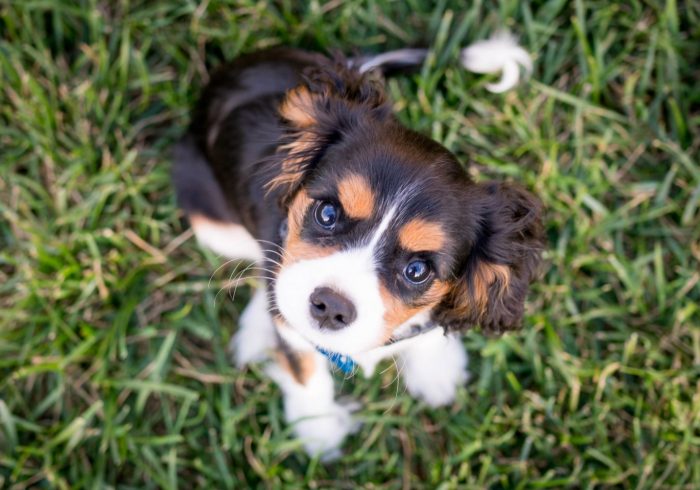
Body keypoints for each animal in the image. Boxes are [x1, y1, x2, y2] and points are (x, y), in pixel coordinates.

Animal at [172, 38, 544, 460]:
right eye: (328, 213)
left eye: (417, 271)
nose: (331, 306)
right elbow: (304, 368)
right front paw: (317, 431)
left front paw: (436, 370)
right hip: (210, 218)